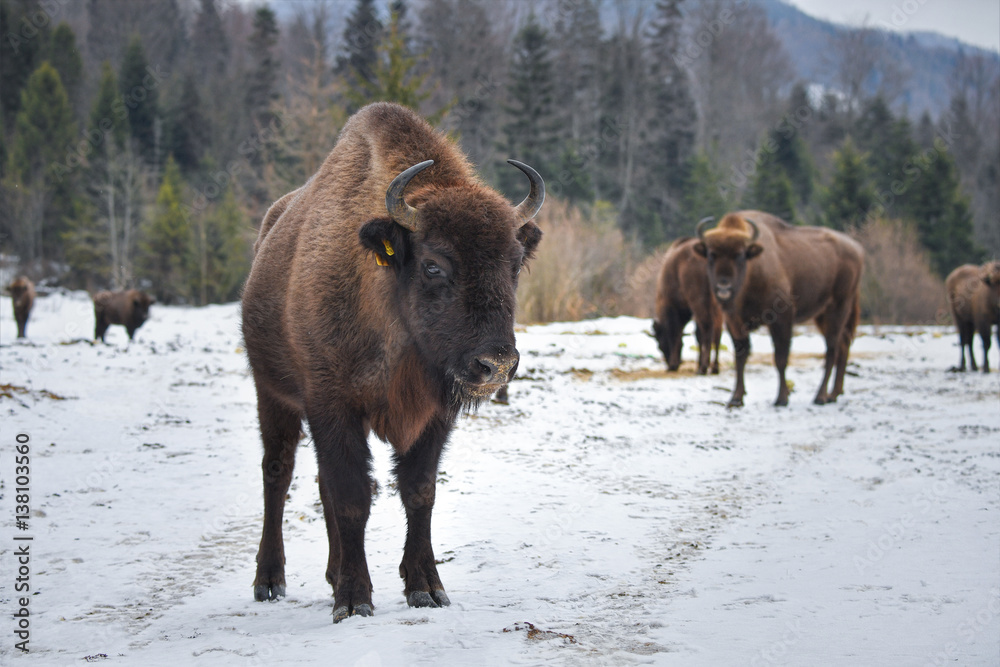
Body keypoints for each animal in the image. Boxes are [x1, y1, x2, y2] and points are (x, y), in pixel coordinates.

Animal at [240, 102, 548, 624]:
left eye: (514, 264)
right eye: (433, 265)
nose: (497, 365)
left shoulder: (434, 416)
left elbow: (417, 490)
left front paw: (426, 588)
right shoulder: (332, 406)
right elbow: (351, 497)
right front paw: (353, 600)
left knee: (318, 482)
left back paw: (329, 573)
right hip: (272, 393)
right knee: (277, 473)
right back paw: (269, 581)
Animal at [652, 232, 724, 374]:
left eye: (660, 345)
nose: (670, 363)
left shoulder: (672, 307)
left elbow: (676, 333)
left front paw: (673, 364)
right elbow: (696, 335)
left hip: (700, 302)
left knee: (708, 328)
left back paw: (703, 368)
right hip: (719, 304)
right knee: (717, 332)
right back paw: (714, 367)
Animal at [696, 211, 868, 408]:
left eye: (739, 255)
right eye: (711, 255)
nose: (723, 287)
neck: (753, 269)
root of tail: (857, 248)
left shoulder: (781, 320)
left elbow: (780, 358)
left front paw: (781, 398)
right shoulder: (734, 322)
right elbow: (741, 357)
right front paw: (736, 398)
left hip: (839, 307)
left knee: (832, 349)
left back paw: (821, 396)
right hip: (823, 315)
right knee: (843, 344)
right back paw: (834, 394)